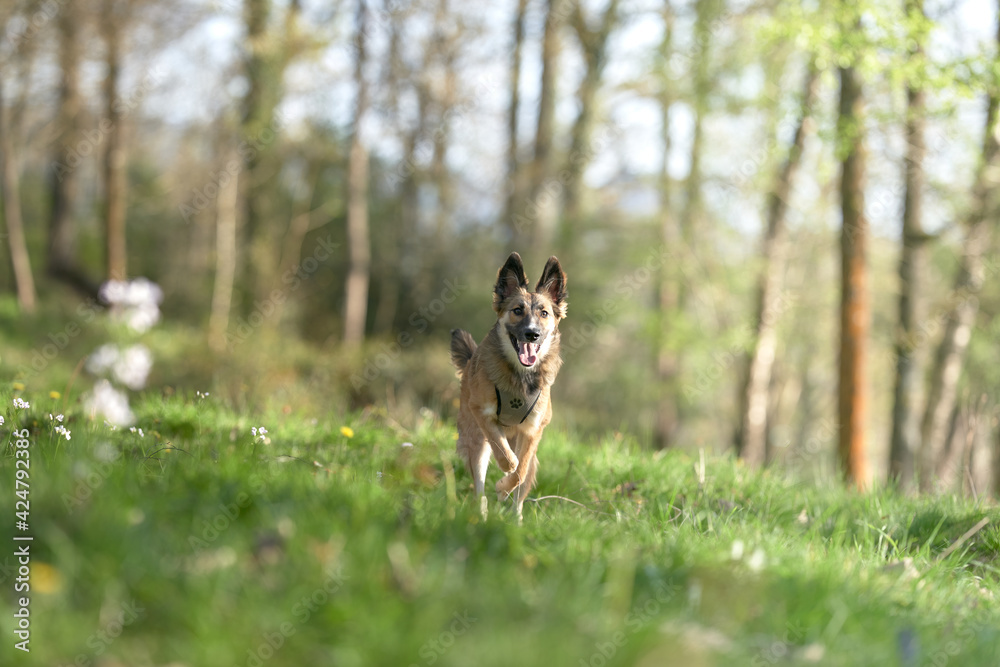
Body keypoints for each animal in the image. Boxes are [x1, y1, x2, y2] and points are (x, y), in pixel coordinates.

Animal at [450, 253, 568, 520]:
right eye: (517, 310)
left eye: (544, 313)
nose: (532, 334)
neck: (519, 375)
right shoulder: (482, 413)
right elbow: (507, 457)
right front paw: (502, 482)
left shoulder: (533, 430)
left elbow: (520, 471)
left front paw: (505, 488)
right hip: (475, 441)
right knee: (480, 488)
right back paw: (482, 514)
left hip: (530, 455)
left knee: (522, 484)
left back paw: (515, 519)